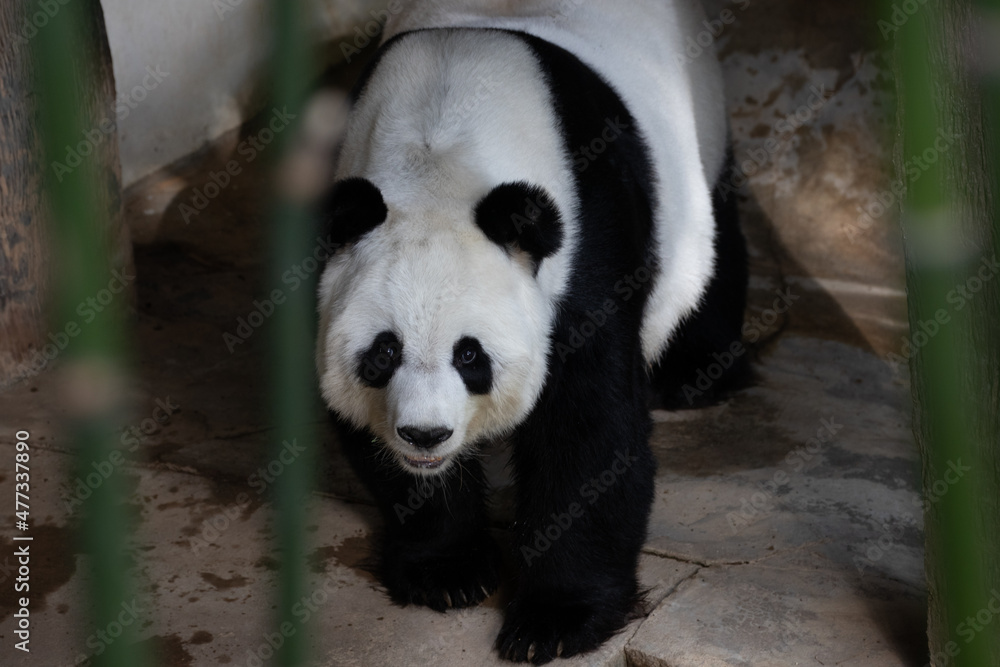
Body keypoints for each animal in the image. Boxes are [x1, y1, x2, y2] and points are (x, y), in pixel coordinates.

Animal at [315, 0, 748, 662]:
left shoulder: (590, 241)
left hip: (699, 130)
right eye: (383, 353)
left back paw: (698, 372)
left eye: (471, 356)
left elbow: (588, 430)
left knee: (715, 238)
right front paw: (446, 571)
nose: (425, 435)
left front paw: (556, 619)